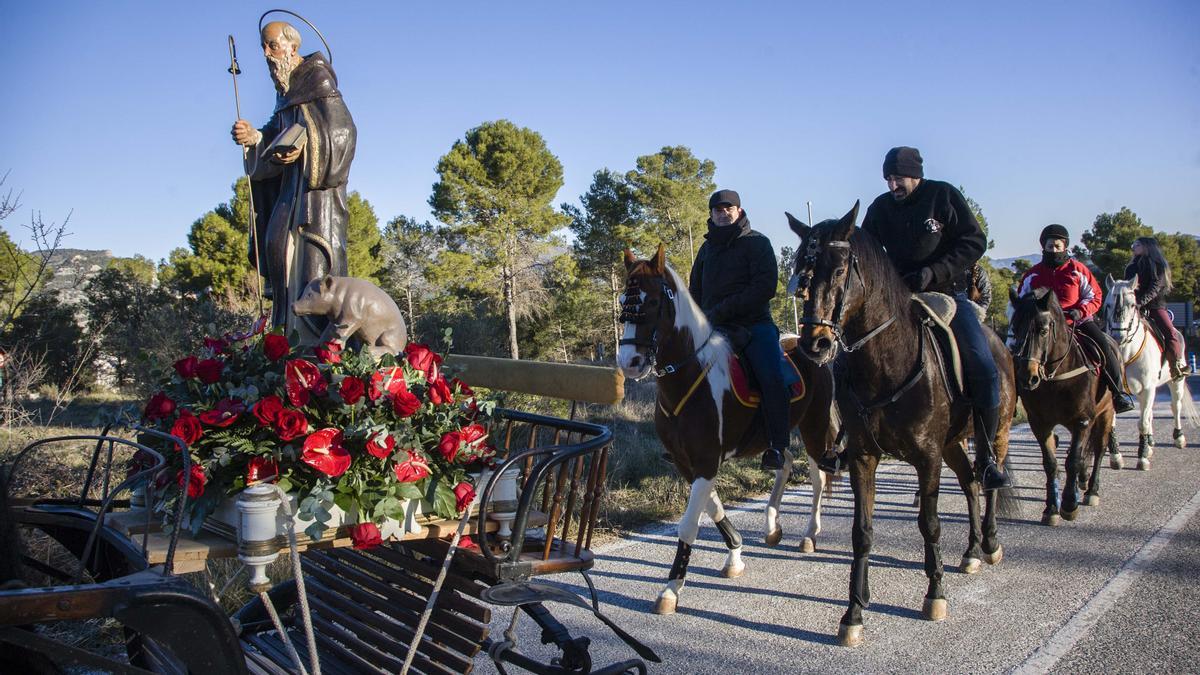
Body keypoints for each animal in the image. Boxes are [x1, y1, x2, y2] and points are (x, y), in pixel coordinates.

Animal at [619, 243, 835, 612]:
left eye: (652, 301)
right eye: (623, 300)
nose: (629, 363)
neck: (690, 375)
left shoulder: (706, 460)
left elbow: (689, 524)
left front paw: (671, 589)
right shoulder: (687, 462)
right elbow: (714, 506)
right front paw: (735, 554)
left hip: (814, 426)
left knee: (818, 476)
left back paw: (809, 535)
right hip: (775, 436)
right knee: (784, 462)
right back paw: (772, 526)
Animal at [792, 204, 1017, 648]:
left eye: (840, 269)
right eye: (803, 271)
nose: (816, 344)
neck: (887, 363)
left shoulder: (927, 457)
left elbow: (929, 524)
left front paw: (935, 595)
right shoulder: (863, 457)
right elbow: (862, 532)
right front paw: (854, 612)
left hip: (994, 433)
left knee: (990, 480)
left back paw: (990, 542)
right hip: (952, 444)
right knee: (970, 484)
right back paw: (970, 551)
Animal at [1003, 285, 1113, 523]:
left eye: (1043, 330)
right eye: (1015, 328)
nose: (1027, 377)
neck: (1057, 377)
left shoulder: (1082, 421)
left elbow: (1072, 460)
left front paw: (1070, 504)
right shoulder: (1040, 423)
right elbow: (1051, 463)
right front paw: (1051, 508)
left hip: (1106, 413)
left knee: (1099, 448)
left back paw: (1092, 490)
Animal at [1099, 273, 1195, 468]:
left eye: (1132, 305)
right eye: (1108, 305)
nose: (1118, 336)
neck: (1125, 353)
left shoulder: (1148, 389)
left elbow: (1142, 422)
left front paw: (1142, 457)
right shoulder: (1115, 392)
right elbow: (1112, 424)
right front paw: (1116, 457)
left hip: (1175, 381)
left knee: (1175, 406)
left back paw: (1178, 438)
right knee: (1150, 412)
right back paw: (1149, 442)